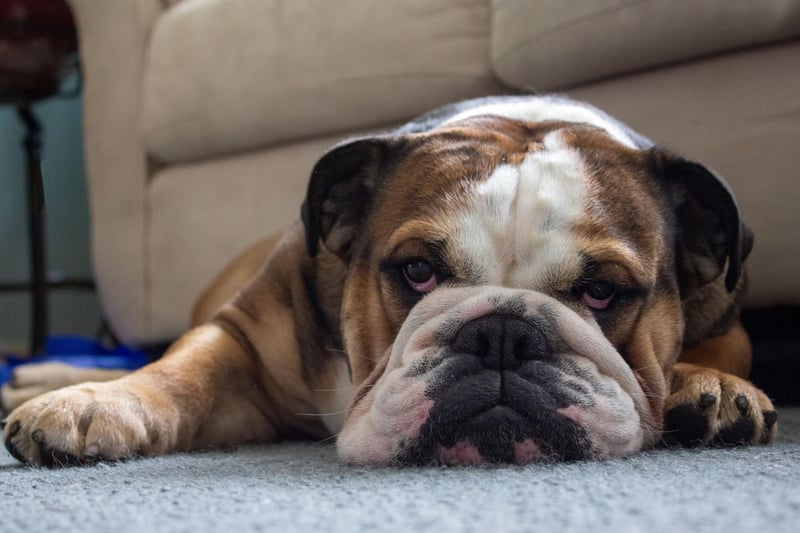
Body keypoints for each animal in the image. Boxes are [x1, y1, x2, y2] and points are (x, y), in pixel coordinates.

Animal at [0, 95, 776, 466]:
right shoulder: (242, 337)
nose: (502, 335)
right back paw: (41, 378)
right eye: (417, 271)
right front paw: (97, 406)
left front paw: (709, 386)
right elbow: (179, 371)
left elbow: (724, 347)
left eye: (604, 291)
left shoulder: (727, 310)